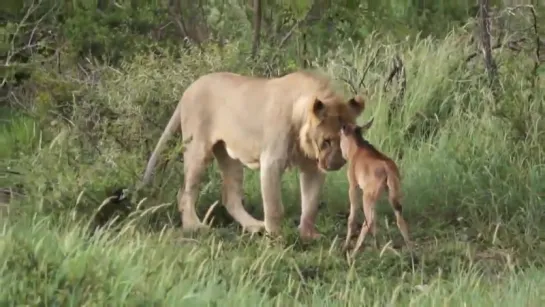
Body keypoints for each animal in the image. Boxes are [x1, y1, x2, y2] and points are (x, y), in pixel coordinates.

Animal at [338, 120, 410, 258]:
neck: (357, 148)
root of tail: (388, 170)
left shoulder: (353, 186)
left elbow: (352, 218)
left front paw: (345, 247)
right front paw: (377, 246)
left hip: (367, 196)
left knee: (368, 221)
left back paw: (354, 253)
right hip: (390, 196)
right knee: (399, 220)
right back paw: (411, 251)